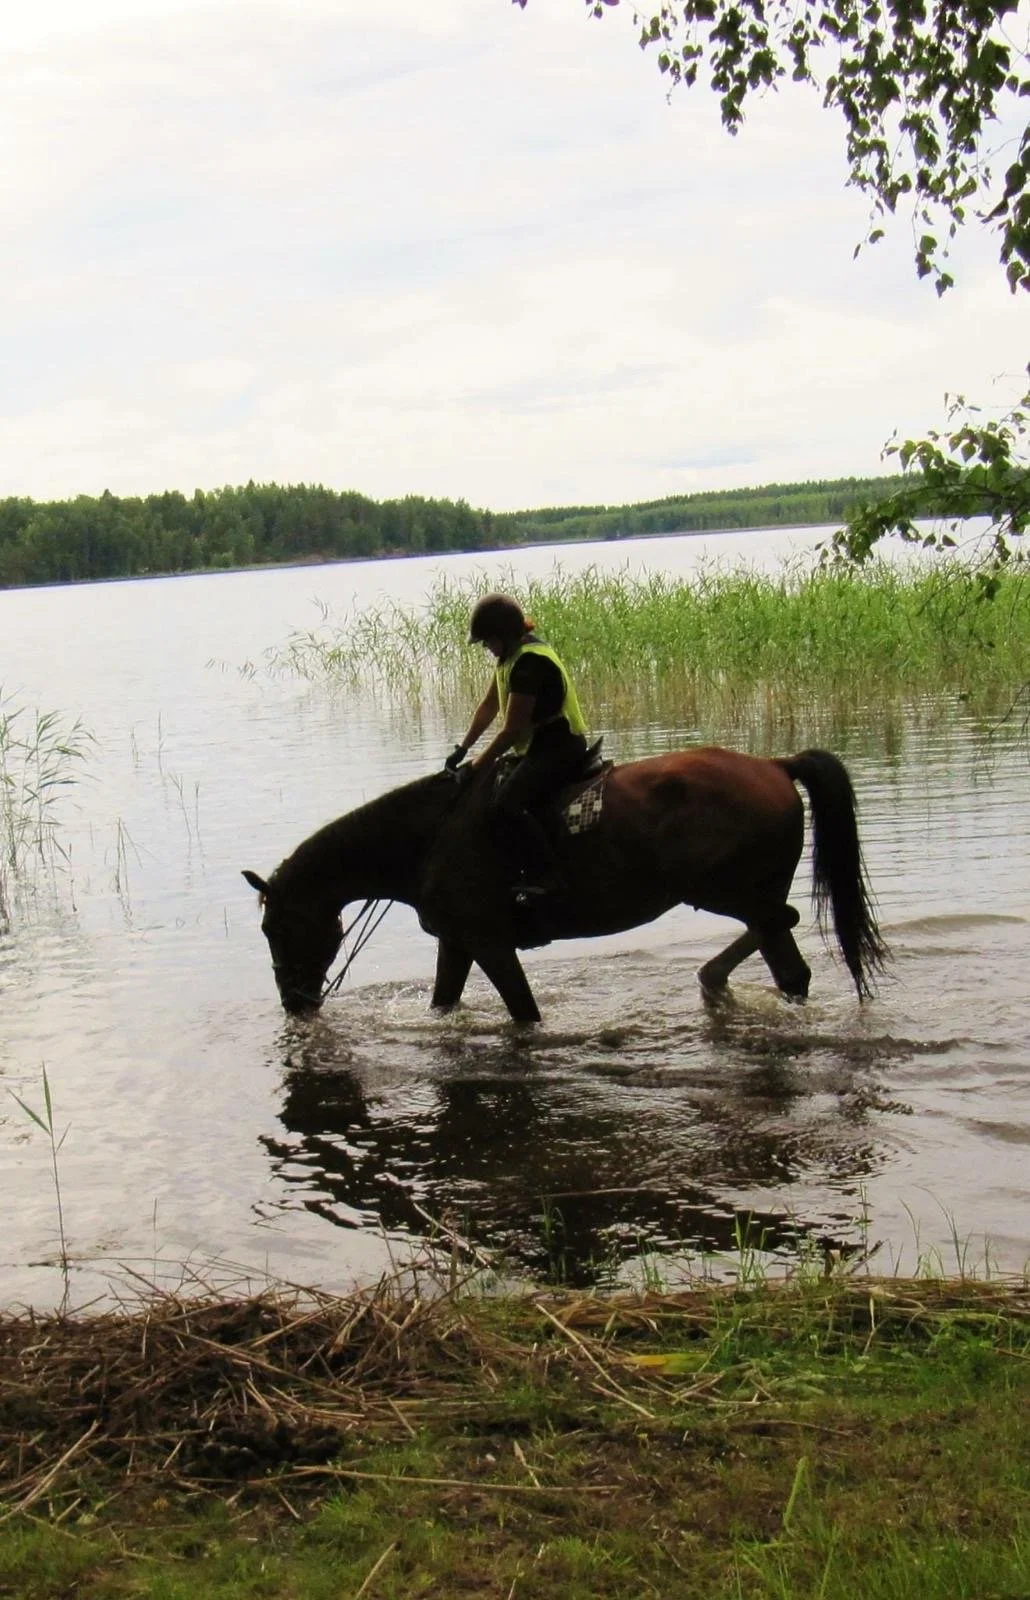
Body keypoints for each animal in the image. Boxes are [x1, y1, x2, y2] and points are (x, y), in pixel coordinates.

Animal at [242, 746, 889, 1024]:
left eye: (275, 928)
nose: (293, 1003)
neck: (427, 837)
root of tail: (775, 765)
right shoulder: (458, 942)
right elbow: (444, 1003)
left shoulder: (491, 944)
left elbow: (524, 1014)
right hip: (744, 893)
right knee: (784, 952)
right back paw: (715, 980)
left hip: (729, 892)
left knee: (783, 935)